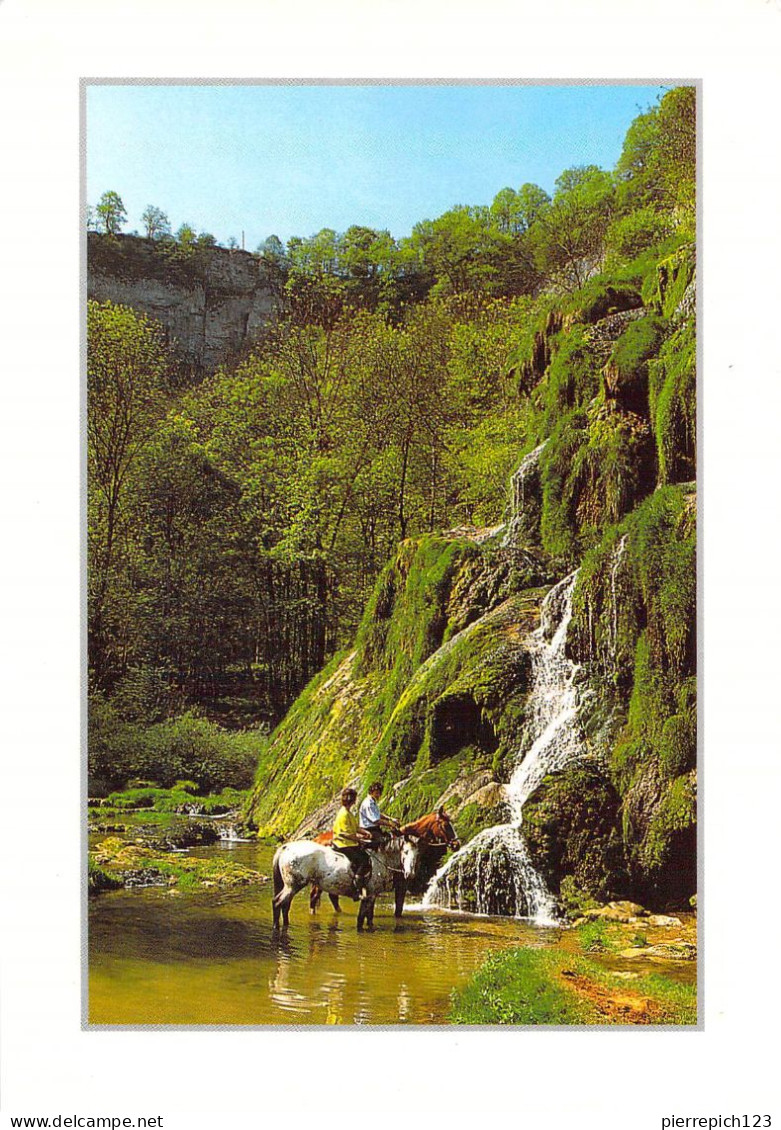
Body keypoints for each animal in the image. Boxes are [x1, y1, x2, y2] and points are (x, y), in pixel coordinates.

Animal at [309, 809, 461, 913]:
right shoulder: (401, 886)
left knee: (331, 897)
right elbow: (398, 910)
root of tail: (318, 839)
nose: (456, 844)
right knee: (315, 897)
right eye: (445, 825)